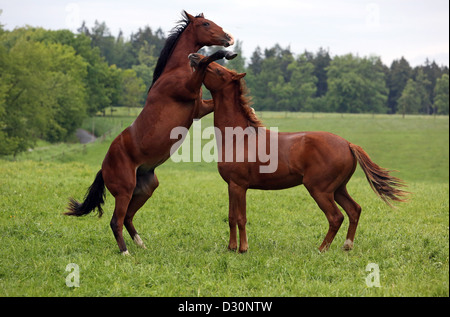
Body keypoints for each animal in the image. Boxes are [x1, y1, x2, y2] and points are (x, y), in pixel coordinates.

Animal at [67, 11, 236, 254]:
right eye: (206, 24)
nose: (229, 38)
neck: (175, 71)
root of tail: (103, 167)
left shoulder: (199, 108)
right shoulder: (188, 90)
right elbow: (205, 62)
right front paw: (225, 54)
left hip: (145, 189)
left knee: (128, 218)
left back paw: (141, 244)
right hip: (124, 191)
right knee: (116, 221)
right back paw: (125, 252)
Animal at [188, 53, 410, 252]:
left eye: (218, 70)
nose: (193, 56)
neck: (238, 138)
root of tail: (348, 144)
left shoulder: (239, 185)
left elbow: (241, 218)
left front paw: (243, 248)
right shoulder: (231, 186)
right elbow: (231, 217)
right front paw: (231, 247)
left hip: (319, 189)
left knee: (336, 217)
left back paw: (321, 249)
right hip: (338, 189)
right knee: (354, 210)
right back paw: (347, 246)